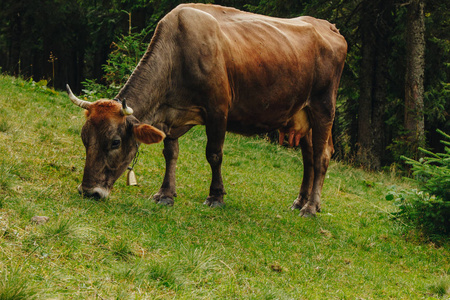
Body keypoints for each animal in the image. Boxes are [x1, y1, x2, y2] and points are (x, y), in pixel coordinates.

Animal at [66, 3, 348, 217]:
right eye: (84, 138)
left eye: (115, 142)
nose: (89, 192)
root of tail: (329, 27)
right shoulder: (170, 115)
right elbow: (170, 152)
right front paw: (165, 193)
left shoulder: (218, 109)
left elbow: (214, 154)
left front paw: (216, 196)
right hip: (302, 115)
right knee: (308, 158)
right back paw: (300, 202)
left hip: (324, 107)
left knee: (321, 156)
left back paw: (311, 207)